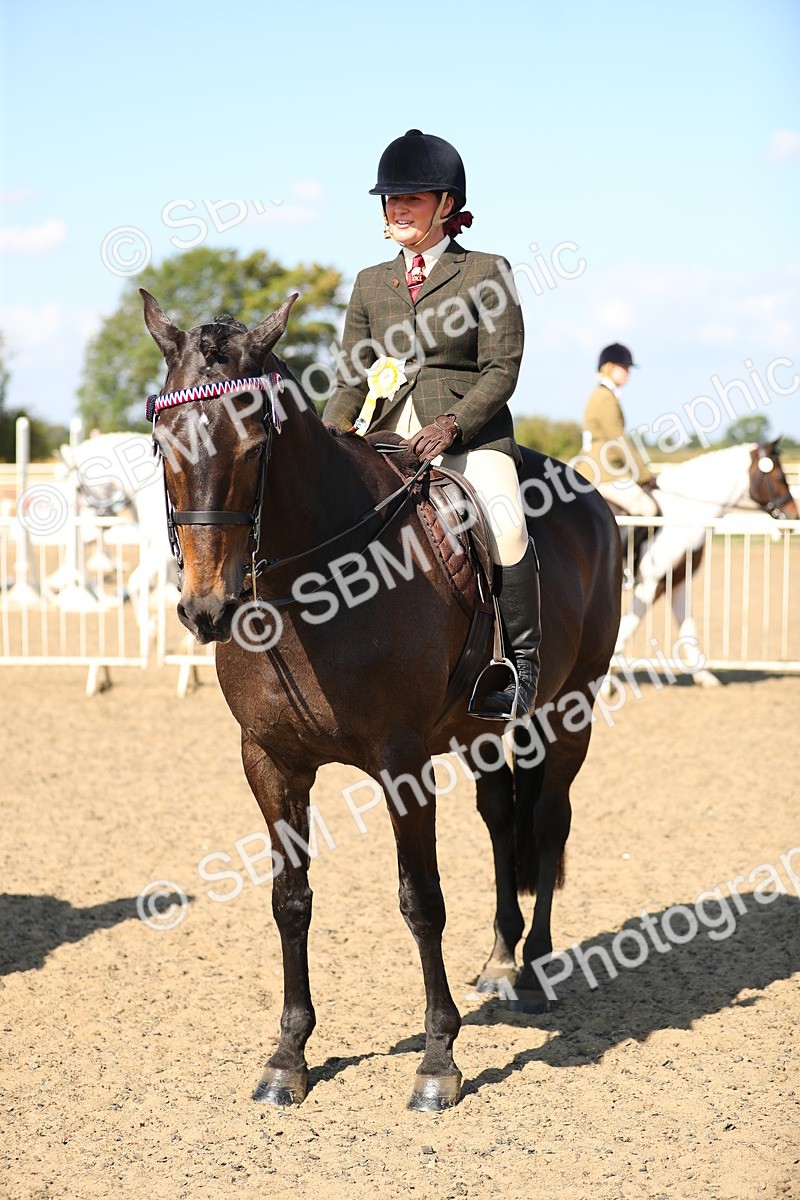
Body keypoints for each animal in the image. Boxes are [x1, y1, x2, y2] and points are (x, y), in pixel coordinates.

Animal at [140, 288, 621, 1111]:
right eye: (163, 442)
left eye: (253, 444)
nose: (206, 609)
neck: (315, 585)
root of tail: (591, 498)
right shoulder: (270, 763)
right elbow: (291, 900)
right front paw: (288, 1056)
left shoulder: (401, 764)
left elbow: (420, 900)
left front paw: (438, 1061)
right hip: (483, 729)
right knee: (501, 818)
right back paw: (500, 958)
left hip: (569, 709)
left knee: (549, 820)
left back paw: (534, 969)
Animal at [613, 441, 799, 682]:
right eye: (779, 476)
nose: (793, 516)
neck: (682, 513)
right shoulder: (652, 583)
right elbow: (627, 629)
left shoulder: (677, 581)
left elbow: (687, 627)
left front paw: (704, 677)